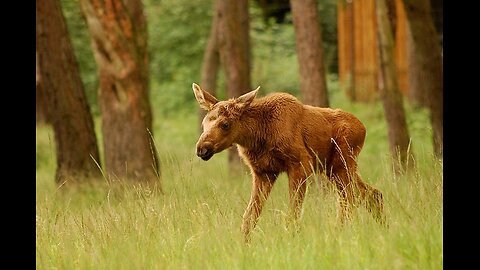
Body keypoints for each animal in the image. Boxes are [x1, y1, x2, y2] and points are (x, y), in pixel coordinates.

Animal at [193, 83, 384, 242]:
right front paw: (244, 245)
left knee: (348, 200)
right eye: (204, 123)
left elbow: (292, 214)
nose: (202, 148)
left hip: (341, 163)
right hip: (334, 168)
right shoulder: (263, 172)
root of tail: (363, 129)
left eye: (225, 124)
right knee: (372, 193)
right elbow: (249, 217)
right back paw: (383, 228)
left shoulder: (301, 163)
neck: (258, 136)